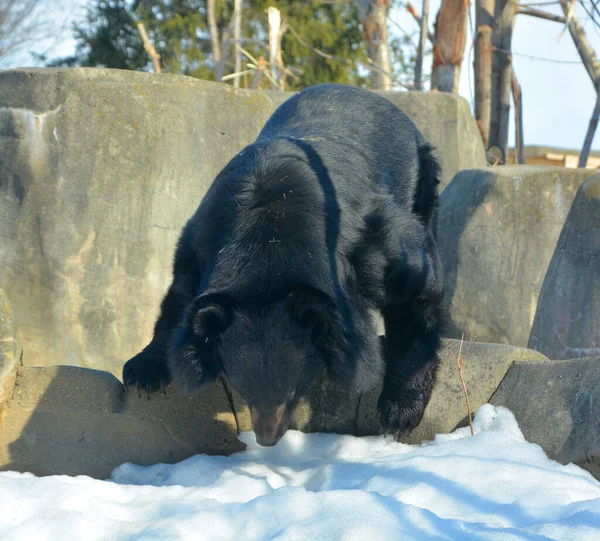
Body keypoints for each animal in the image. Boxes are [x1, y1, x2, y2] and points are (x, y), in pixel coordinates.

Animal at [122, 84, 442, 446]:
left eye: (292, 392)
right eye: (245, 393)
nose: (267, 438)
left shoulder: (370, 245)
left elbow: (413, 288)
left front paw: (398, 412)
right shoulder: (201, 240)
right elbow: (179, 299)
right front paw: (142, 372)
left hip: (421, 181)